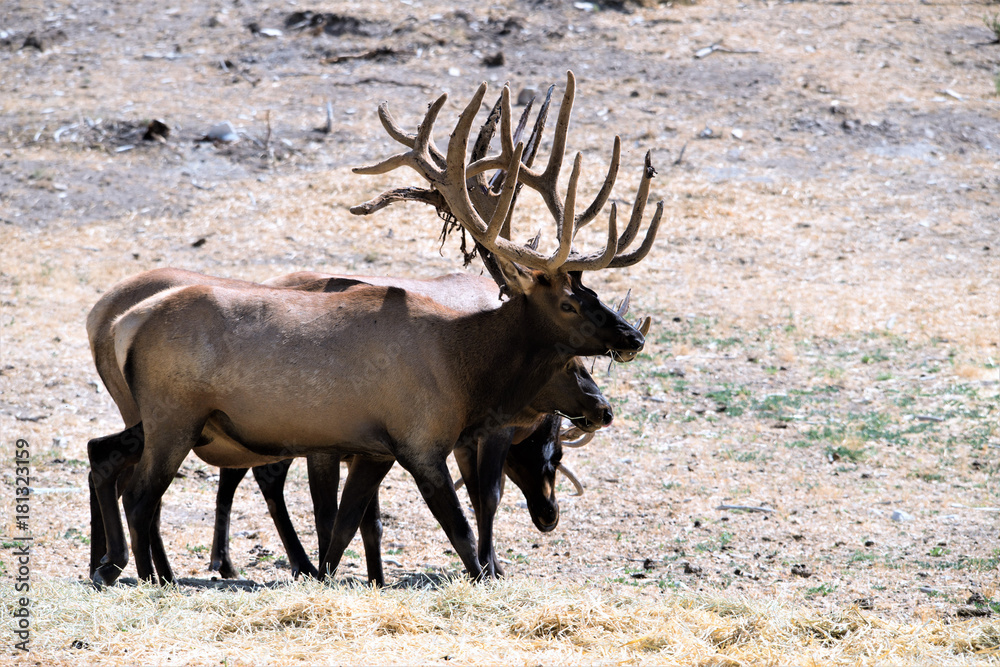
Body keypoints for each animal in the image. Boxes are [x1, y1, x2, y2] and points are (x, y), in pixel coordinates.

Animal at [88, 70, 661, 587]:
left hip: (169, 418)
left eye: (593, 292)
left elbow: (345, 529)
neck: (465, 370)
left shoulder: (372, 450)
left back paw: (123, 567)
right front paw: (487, 574)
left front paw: (332, 578)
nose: (633, 338)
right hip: (173, 415)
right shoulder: (422, 441)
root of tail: (121, 322)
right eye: (569, 303)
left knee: (116, 463)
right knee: (142, 493)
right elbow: (462, 532)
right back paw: (149, 576)